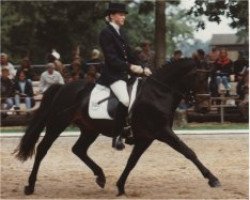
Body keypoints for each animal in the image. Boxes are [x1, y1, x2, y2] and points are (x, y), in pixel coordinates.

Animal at [14, 57, 220, 195]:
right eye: (200, 79)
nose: (205, 108)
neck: (159, 92)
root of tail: (63, 87)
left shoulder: (146, 138)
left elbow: (132, 162)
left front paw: (120, 187)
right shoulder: (163, 132)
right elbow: (188, 151)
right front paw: (213, 179)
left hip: (90, 129)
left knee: (78, 149)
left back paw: (101, 177)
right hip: (58, 124)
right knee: (42, 149)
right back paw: (30, 186)